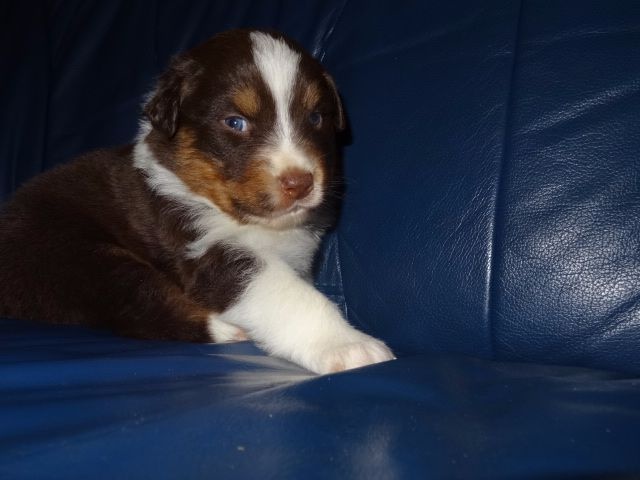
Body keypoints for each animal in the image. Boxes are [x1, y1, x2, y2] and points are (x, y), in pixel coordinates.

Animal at [0, 29, 394, 374]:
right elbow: (290, 294)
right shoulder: (204, 249)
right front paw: (349, 346)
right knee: (138, 306)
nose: (300, 183)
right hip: (79, 256)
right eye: (235, 122)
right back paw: (226, 330)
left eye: (315, 117)